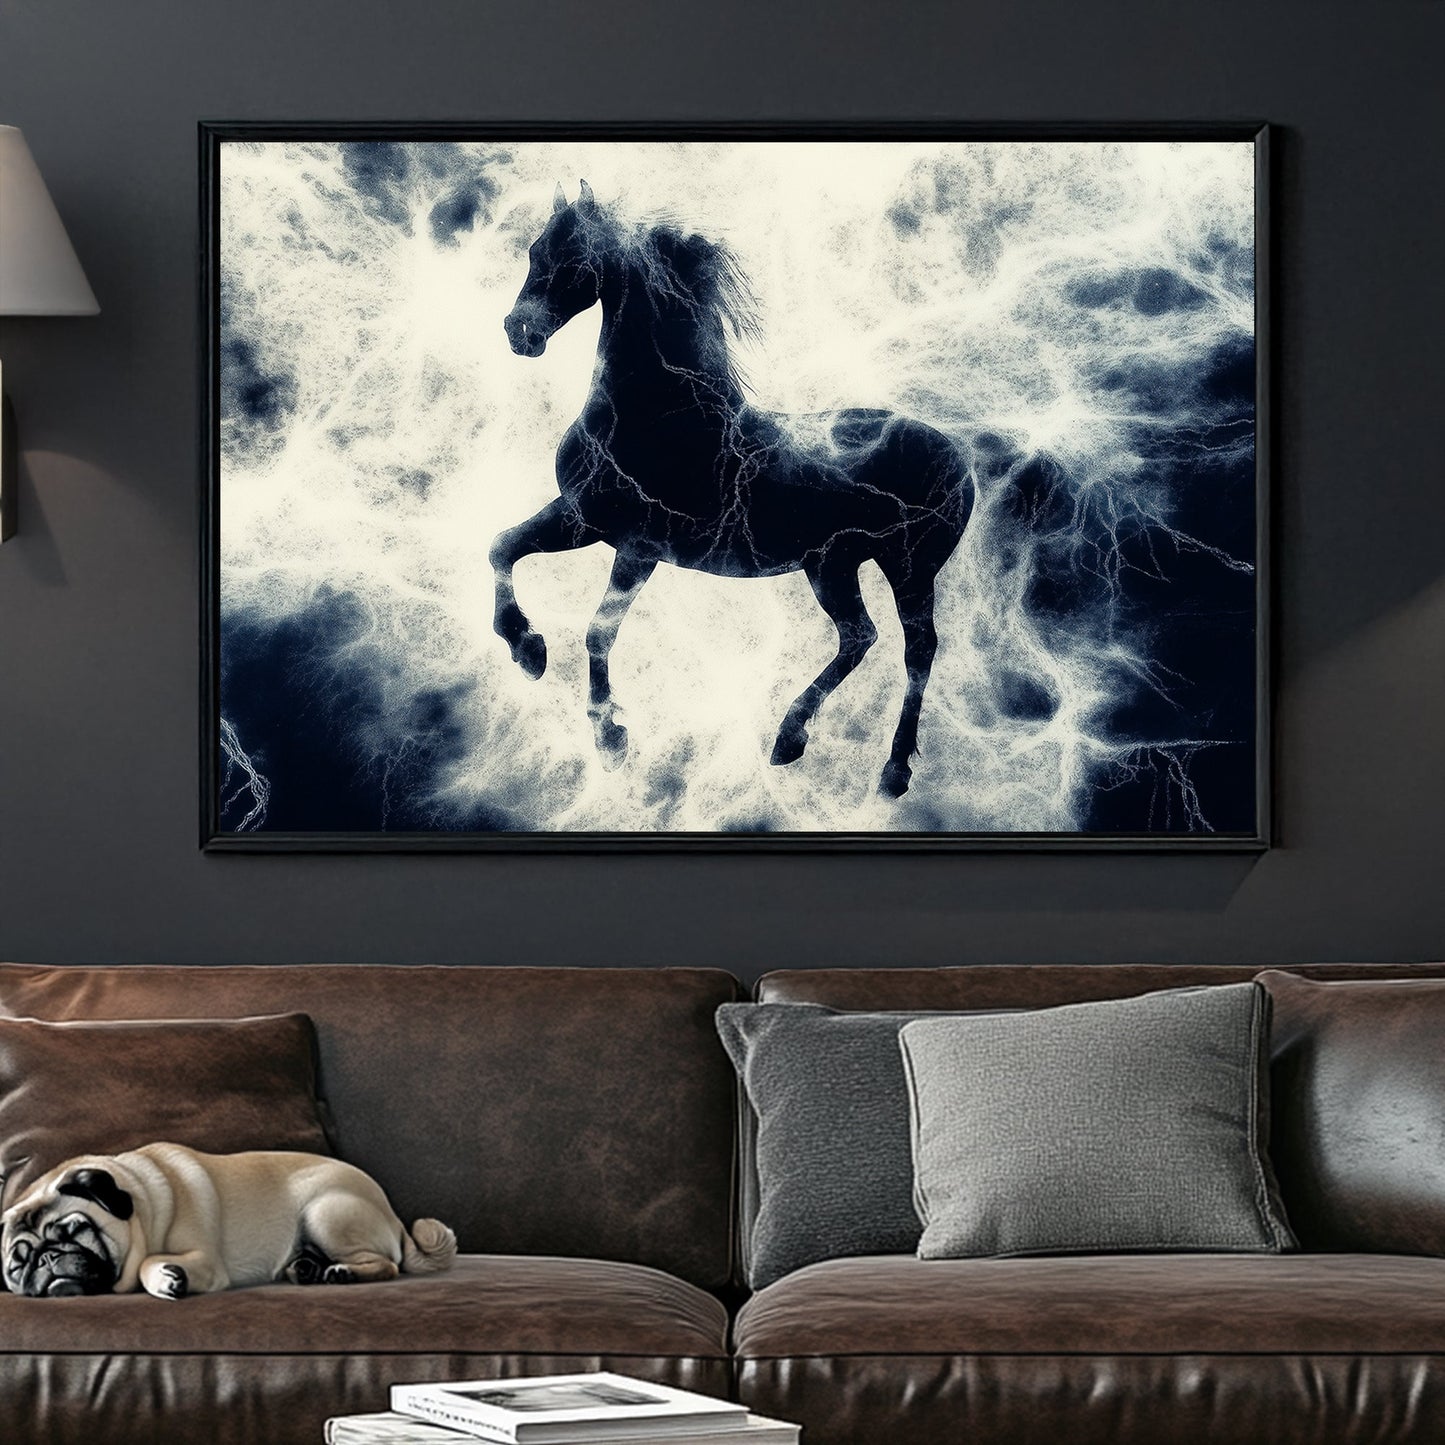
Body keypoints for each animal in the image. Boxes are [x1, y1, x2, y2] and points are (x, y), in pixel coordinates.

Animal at [496, 180, 974, 799]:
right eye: (534, 251)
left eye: (575, 261)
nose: (519, 332)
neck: (659, 415)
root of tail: (961, 459)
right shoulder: (583, 519)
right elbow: (502, 547)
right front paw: (528, 651)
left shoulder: (637, 545)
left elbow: (599, 632)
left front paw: (610, 740)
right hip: (834, 565)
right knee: (859, 636)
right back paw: (789, 740)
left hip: (908, 570)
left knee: (917, 652)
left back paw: (891, 771)